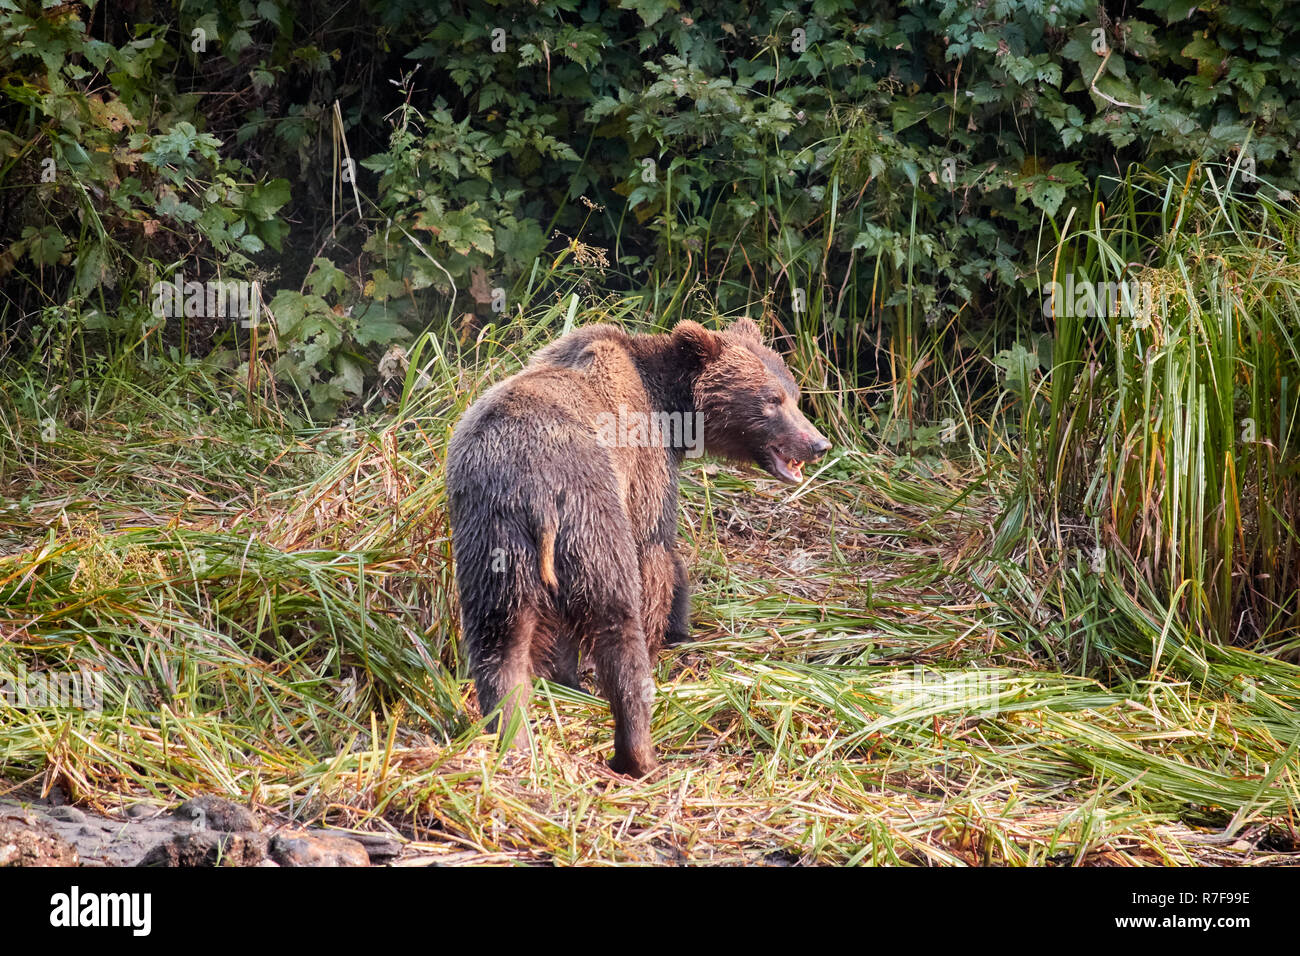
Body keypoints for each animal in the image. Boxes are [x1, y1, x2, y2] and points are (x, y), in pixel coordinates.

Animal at [447, 317, 832, 775]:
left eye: (794, 393)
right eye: (771, 400)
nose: (818, 443)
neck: (670, 406)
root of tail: (535, 489)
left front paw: (566, 680)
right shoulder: (646, 468)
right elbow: (657, 551)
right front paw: (671, 632)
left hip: (491, 538)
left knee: (498, 643)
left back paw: (512, 741)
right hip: (589, 516)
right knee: (615, 620)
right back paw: (638, 753)